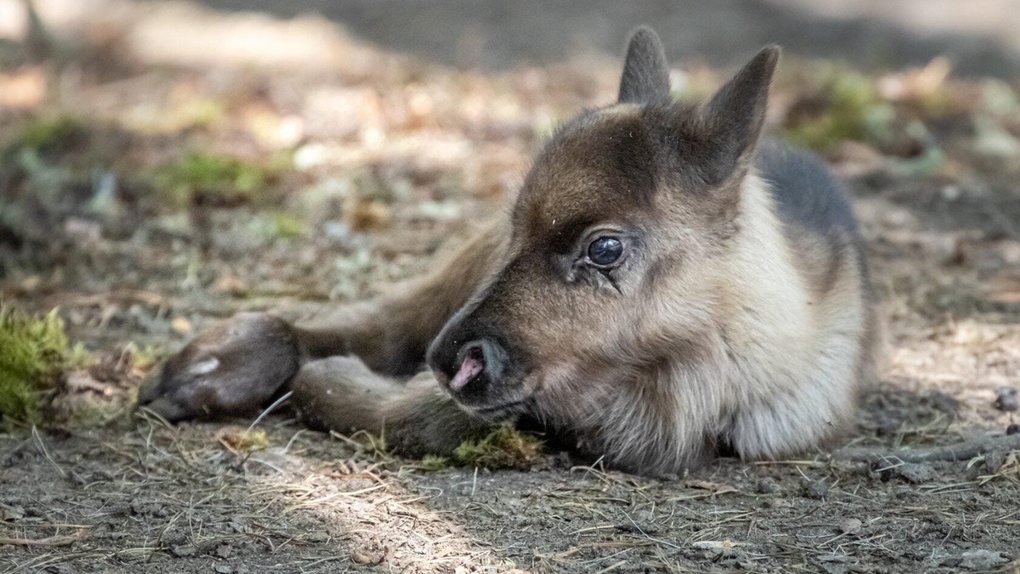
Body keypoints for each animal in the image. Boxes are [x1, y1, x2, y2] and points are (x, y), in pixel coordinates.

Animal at [139, 27, 881, 477]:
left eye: (605, 247)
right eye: (518, 218)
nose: (453, 357)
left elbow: (432, 415)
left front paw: (326, 381)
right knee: (369, 319)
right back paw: (193, 373)